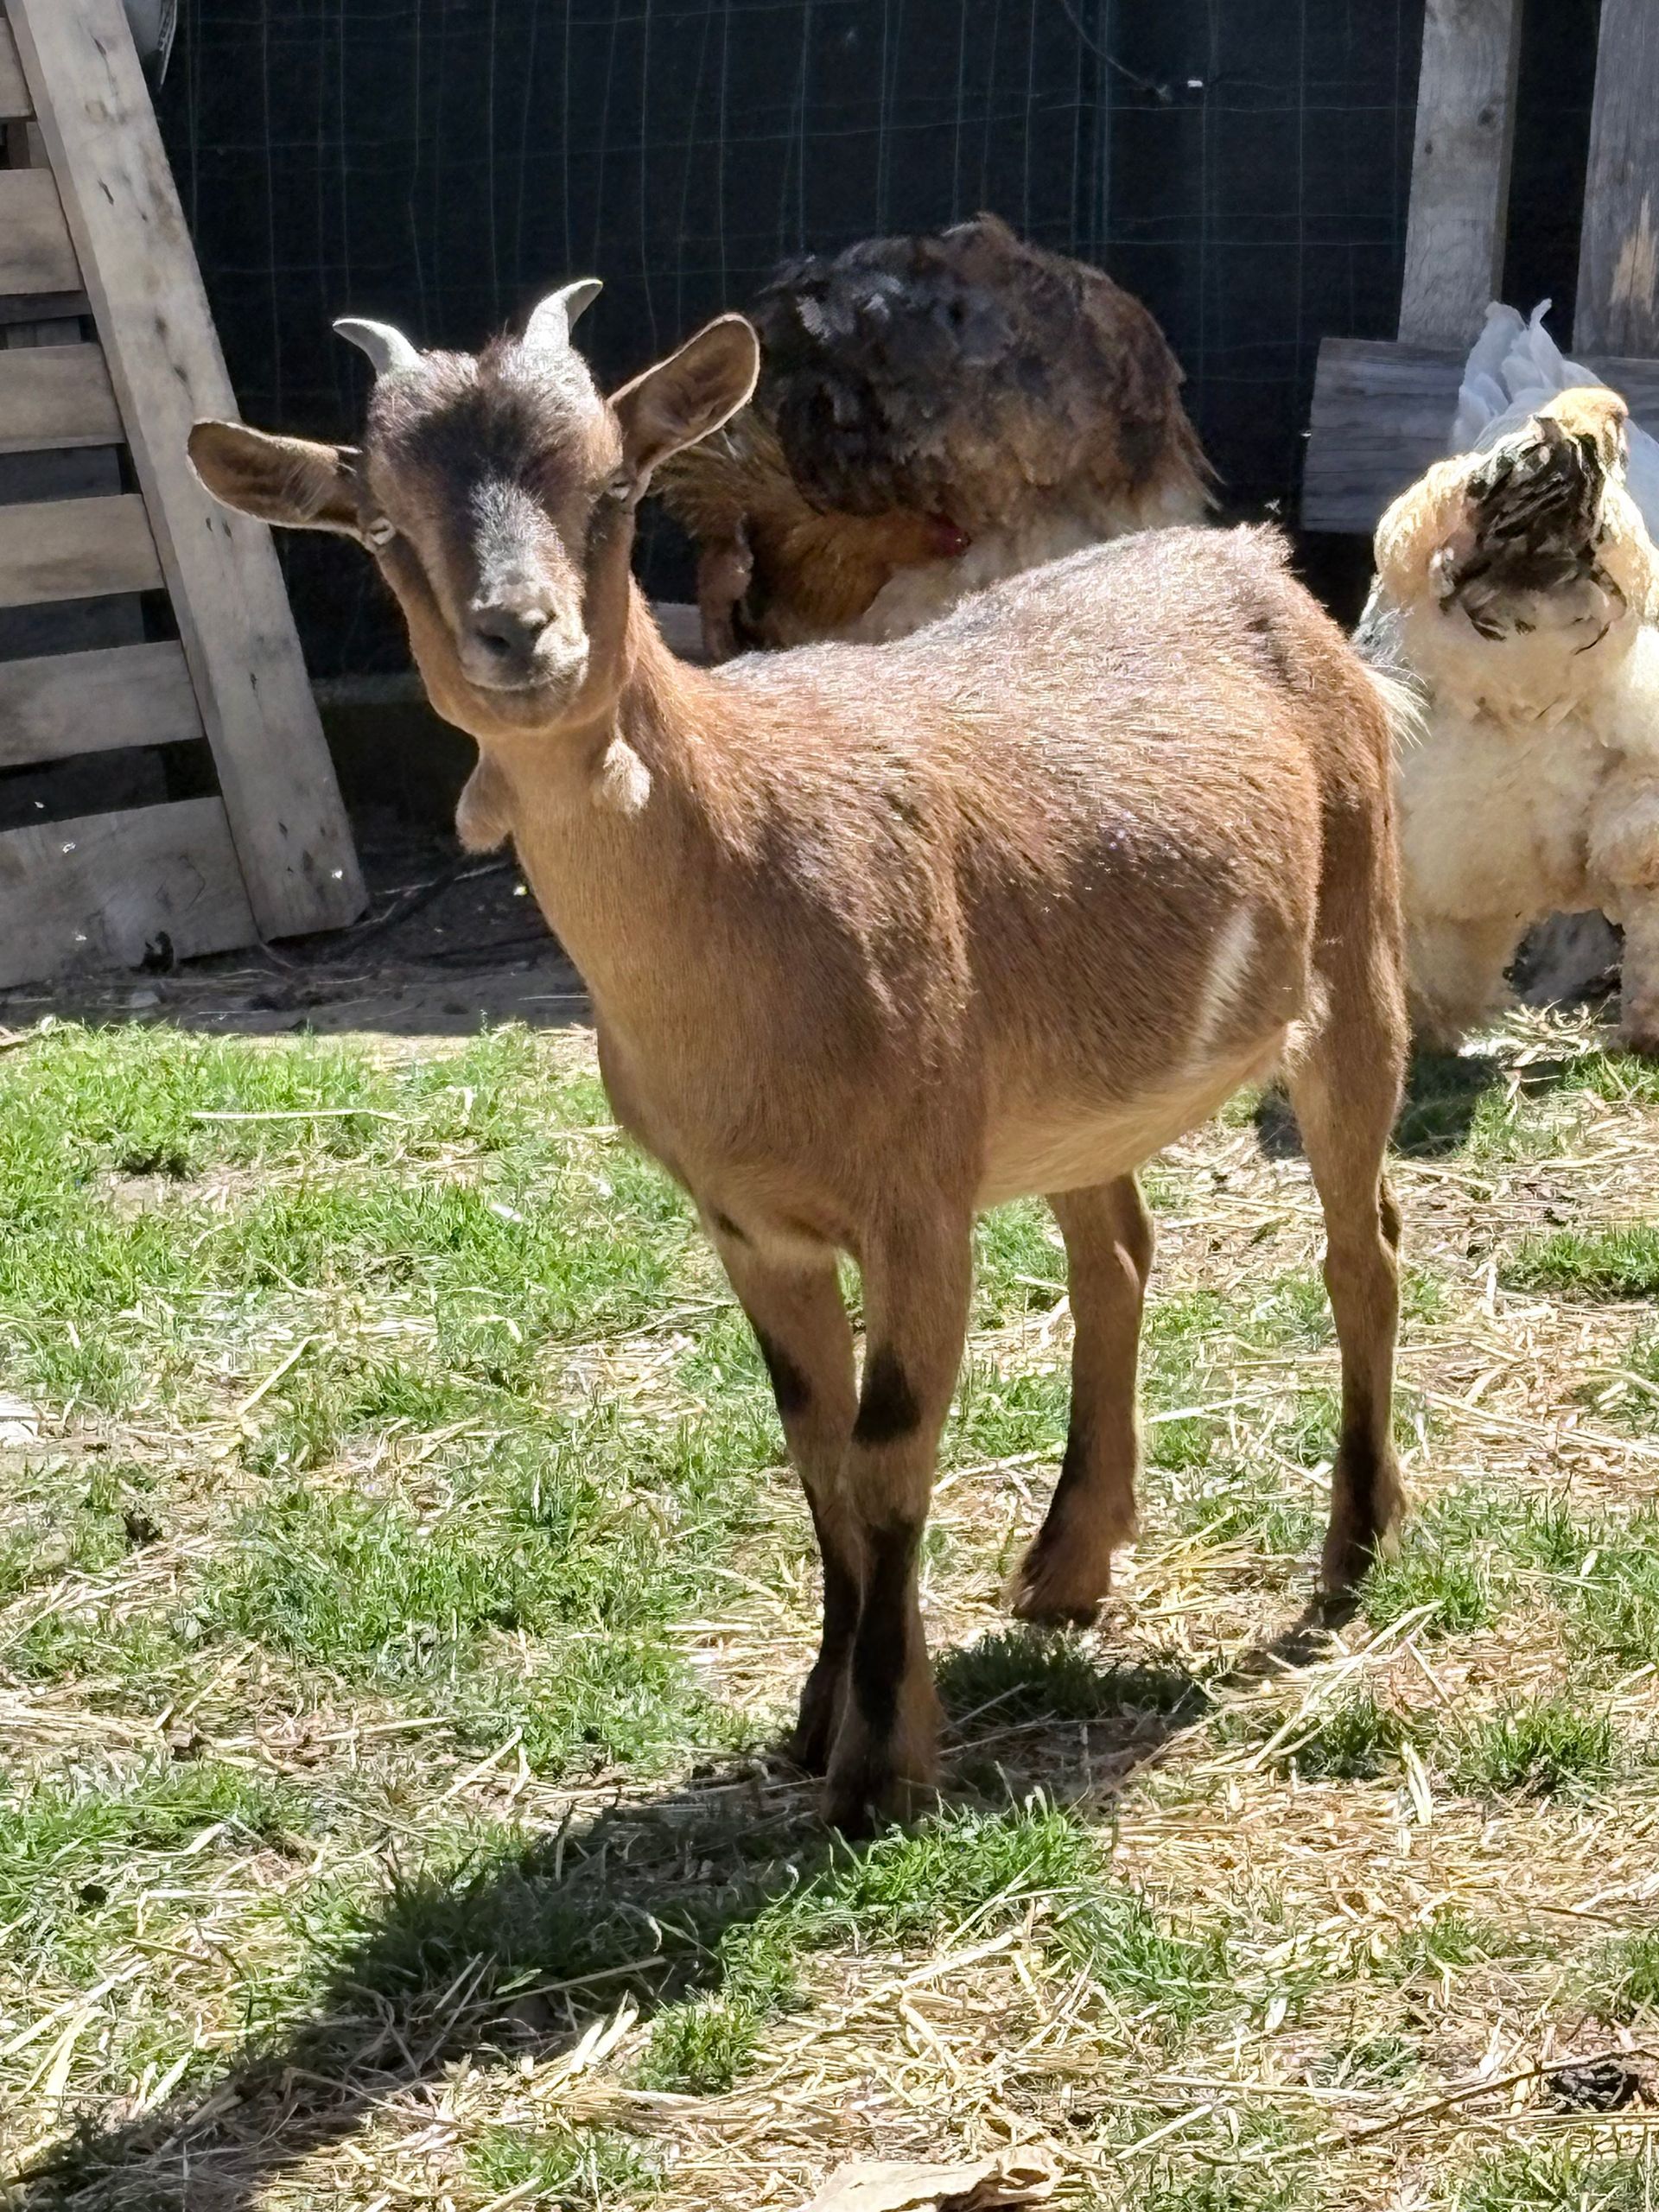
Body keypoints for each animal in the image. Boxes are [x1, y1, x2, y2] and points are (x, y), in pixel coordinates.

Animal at [189, 282, 1412, 1835]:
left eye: (613, 489)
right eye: (381, 526)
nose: (519, 635)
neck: (752, 881)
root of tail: (1260, 559)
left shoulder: (916, 1199)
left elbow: (890, 1448)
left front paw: (883, 1764)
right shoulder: (748, 1222)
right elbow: (814, 1446)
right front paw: (820, 1711)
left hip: (1356, 954)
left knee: (1360, 1244)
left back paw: (1355, 1547)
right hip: (1067, 1097)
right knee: (1119, 1253)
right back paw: (1068, 1566)